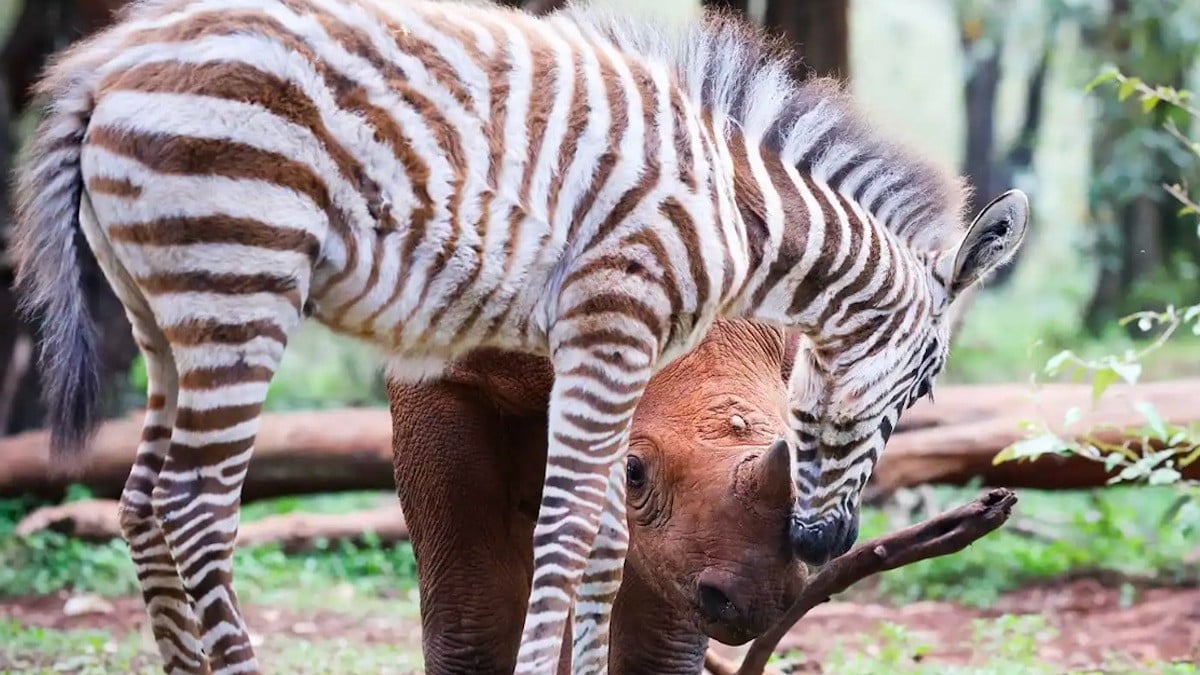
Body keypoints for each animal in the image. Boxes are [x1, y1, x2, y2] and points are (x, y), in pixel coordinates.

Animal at [11, 0, 1029, 673]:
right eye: (925, 391)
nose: (821, 545)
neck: (743, 223)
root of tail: (104, 72)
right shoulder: (603, 331)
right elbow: (567, 530)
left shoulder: (623, 357)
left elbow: (610, 544)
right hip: (240, 287)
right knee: (195, 505)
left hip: (160, 314)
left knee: (139, 500)